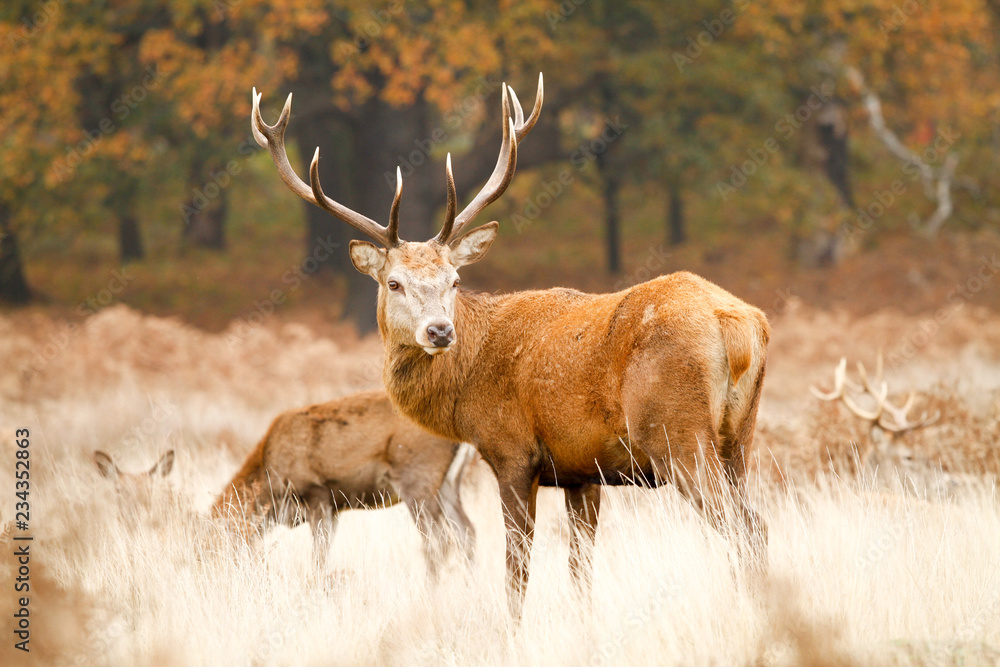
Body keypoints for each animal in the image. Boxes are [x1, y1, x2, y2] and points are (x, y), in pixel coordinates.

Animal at [212, 391, 476, 575]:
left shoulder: (316, 494)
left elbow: (319, 555)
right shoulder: (335, 507)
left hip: (417, 479)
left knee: (439, 541)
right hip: (448, 485)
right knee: (467, 532)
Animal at [251, 73, 771, 616]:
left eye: (455, 280)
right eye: (394, 282)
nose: (440, 331)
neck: (467, 389)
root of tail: (736, 322)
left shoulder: (512, 452)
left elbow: (516, 569)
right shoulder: (581, 471)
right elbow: (580, 569)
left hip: (676, 432)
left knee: (745, 525)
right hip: (740, 438)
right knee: (752, 522)